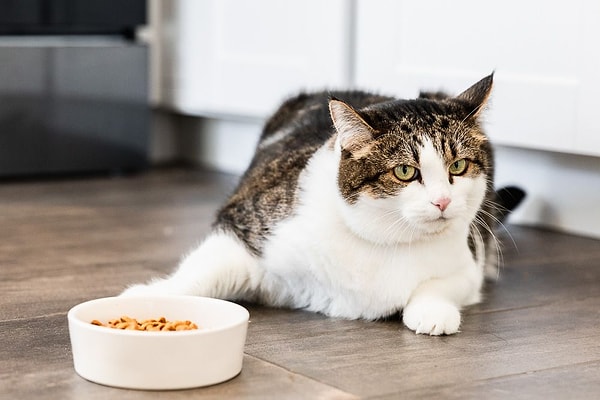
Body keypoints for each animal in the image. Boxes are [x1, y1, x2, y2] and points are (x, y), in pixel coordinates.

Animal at [124, 73, 524, 336]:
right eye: (405, 171)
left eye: (458, 167)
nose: (442, 201)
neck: (383, 241)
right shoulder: (245, 222)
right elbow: (202, 270)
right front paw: (147, 298)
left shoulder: (468, 261)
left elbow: (441, 284)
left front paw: (433, 311)